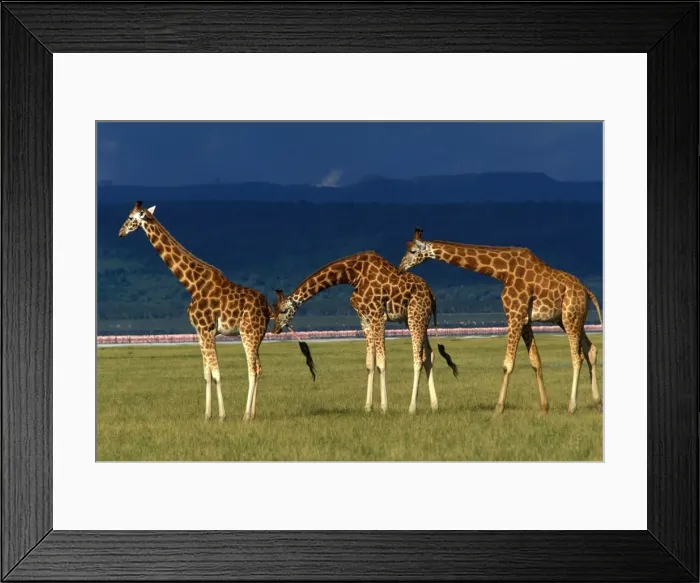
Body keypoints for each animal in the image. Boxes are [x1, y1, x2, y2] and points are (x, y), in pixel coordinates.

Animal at [117, 201, 306, 422]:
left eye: (130, 217)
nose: (120, 232)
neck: (192, 284)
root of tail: (268, 308)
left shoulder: (207, 329)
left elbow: (216, 373)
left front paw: (222, 416)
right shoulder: (199, 332)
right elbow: (207, 374)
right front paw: (207, 415)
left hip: (248, 333)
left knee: (252, 369)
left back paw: (245, 415)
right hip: (257, 335)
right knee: (259, 368)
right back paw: (252, 414)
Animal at [270, 251, 458, 414]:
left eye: (284, 310)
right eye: (274, 311)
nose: (275, 329)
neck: (352, 275)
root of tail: (432, 295)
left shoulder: (377, 316)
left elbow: (381, 362)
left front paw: (384, 407)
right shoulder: (365, 320)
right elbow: (369, 364)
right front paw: (368, 407)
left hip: (415, 317)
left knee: (418, 358)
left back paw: (412, 408)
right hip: (418, 320)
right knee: (429, 355)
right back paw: (435, 405)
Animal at [398, 228, 602, 416]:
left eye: (413, 251)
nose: (400, 268)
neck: (502, 271)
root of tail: (586, 290)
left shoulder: (514, 314)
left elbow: (507, 364)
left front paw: (498, 409)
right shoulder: (524, 319)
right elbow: (535, 361)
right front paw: (544, 407)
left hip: (570, 318)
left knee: (577, 357)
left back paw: (572, 406)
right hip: (569, 319)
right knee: (591, 350)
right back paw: (598, 403)